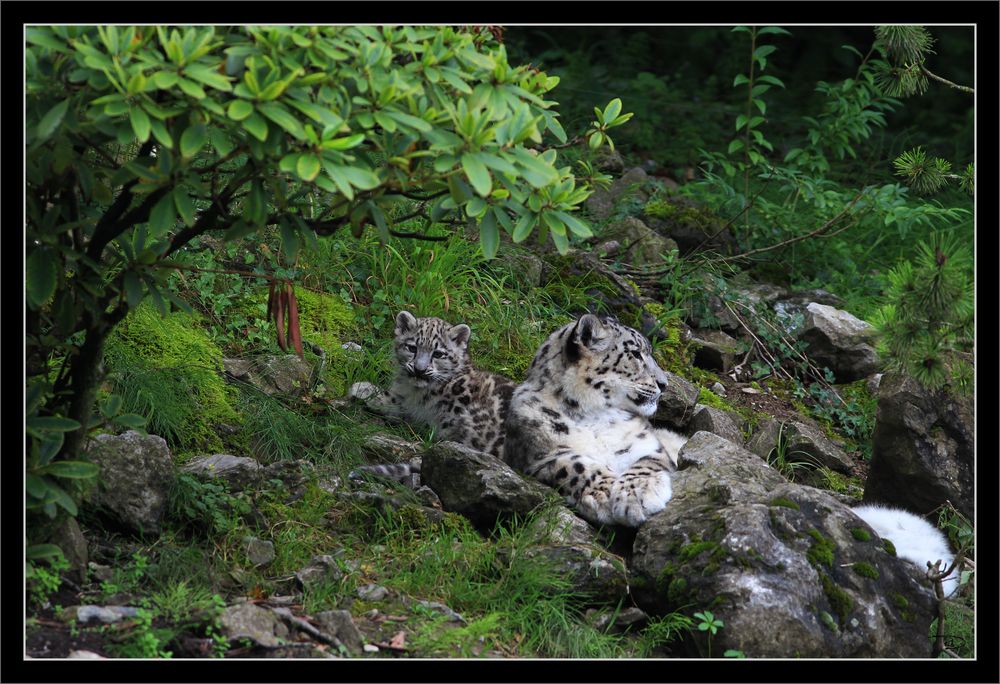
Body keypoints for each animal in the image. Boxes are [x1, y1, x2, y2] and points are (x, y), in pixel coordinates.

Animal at [350, 310, 516, 480]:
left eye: (438, 354)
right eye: (412, 348)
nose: (419, 370)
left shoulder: (417, 406)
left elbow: (393, 399)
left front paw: (362, 389)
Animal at [508, 312, 688, 528]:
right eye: (636, 353)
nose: (664, 384)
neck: (593, 416)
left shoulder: (648, 445)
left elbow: (644, 465)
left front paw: (637, 494)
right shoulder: (541, 455)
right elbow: (575, 466)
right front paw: (603, 493)